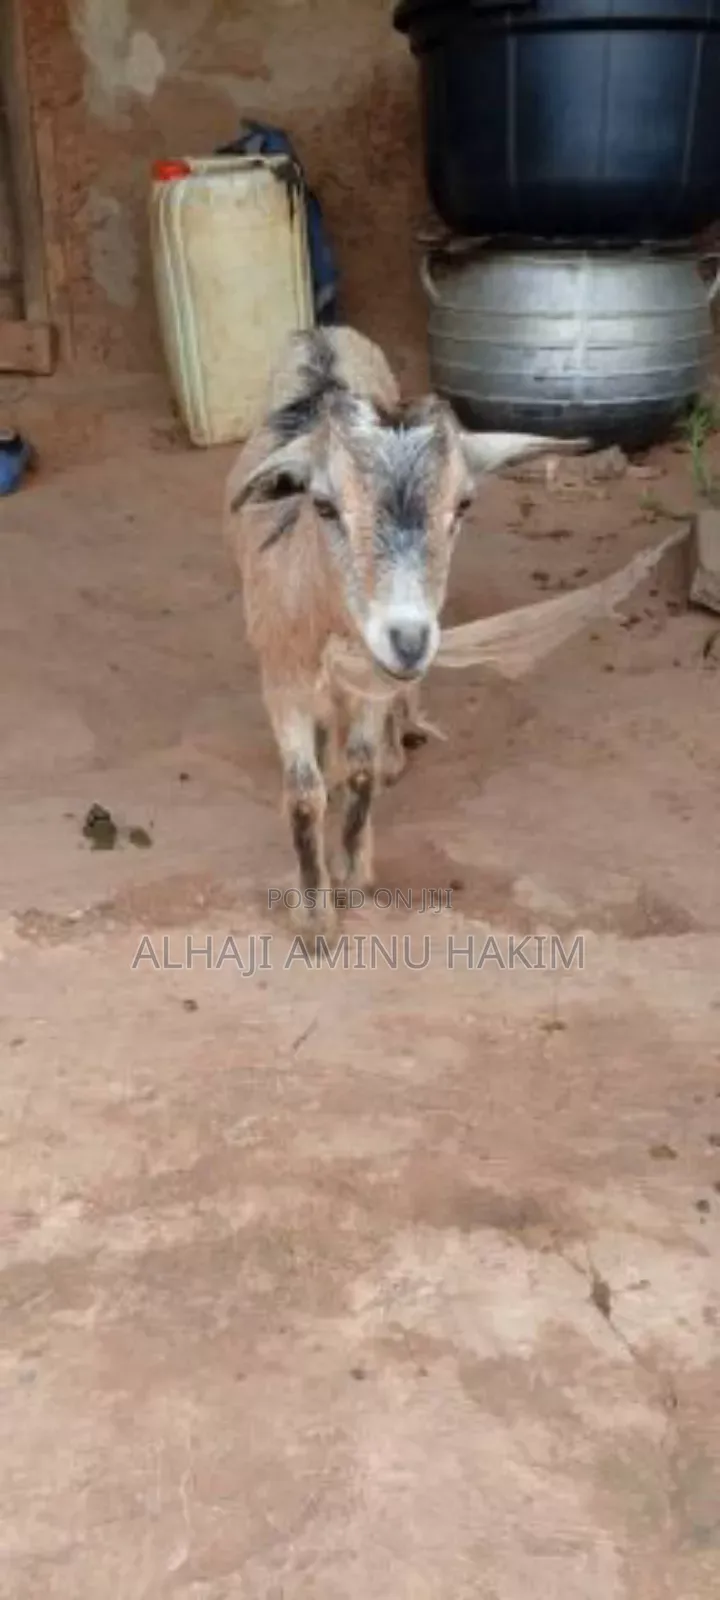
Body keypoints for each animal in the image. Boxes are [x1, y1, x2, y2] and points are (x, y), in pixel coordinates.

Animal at [224, 327, 583, 933]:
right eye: (323, 505)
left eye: (463, 503)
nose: (409, 640)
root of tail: (323, 331)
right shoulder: (282, 678)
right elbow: (304, 794)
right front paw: (314, 917)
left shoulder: (375, 675)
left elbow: (362, 772)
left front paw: (351, 877)